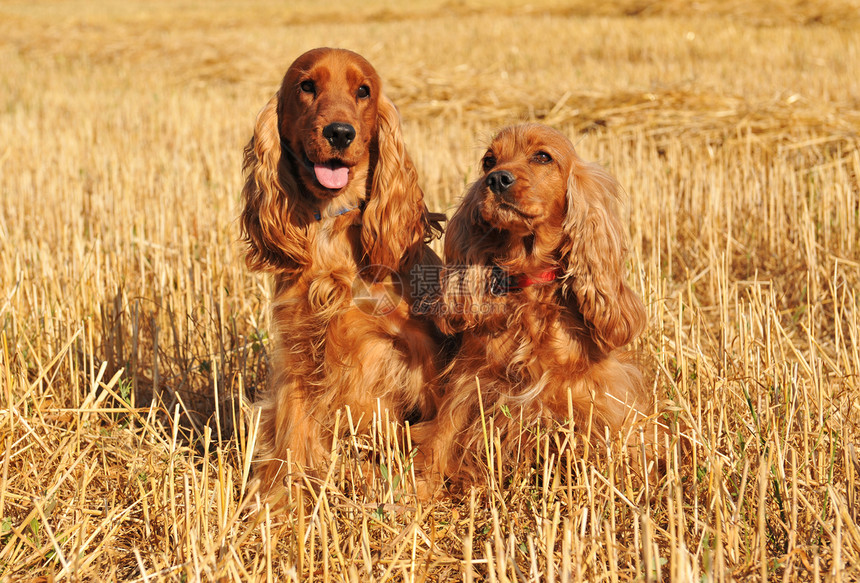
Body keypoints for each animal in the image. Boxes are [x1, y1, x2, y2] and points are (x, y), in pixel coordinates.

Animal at [242, 48, 444, 500]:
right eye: (306, 86)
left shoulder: (421, 352)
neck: (332, 227)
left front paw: (418, 492)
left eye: (363, 90)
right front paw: (278, 504)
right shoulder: (300, 348)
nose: (339, 132)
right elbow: (292, 440)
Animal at [416, 123, 652, 492]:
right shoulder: (469, 384)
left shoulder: (591, 392)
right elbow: (439, 439)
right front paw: (415, 492)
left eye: (542, 156)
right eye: (488, 160)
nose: (497, 179)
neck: (530, 280)